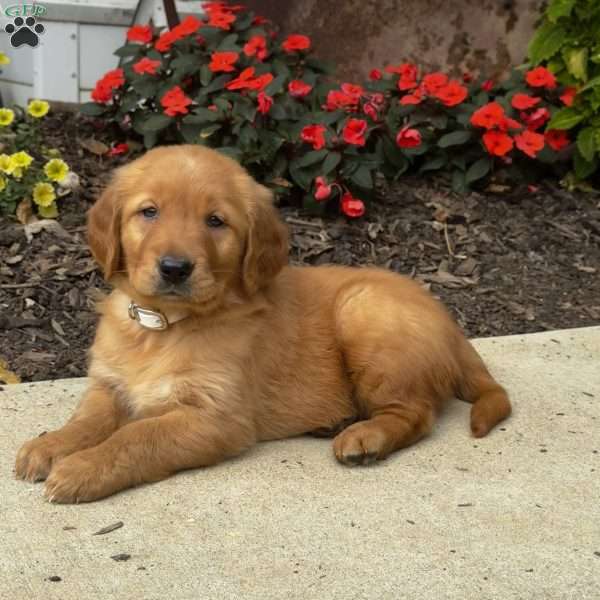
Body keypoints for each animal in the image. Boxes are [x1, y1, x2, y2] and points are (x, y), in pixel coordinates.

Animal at [14, 145, 510, 502]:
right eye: (148, 212)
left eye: (216, 221)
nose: (175, 268)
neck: (164, 327)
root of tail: (455, 330)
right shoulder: (110, 383)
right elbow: (89, 419)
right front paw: (50, 444)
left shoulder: (217, 417)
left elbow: (137, 435)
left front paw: (81, 469)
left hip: (364, 311)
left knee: (417, 413)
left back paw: (364, 436)